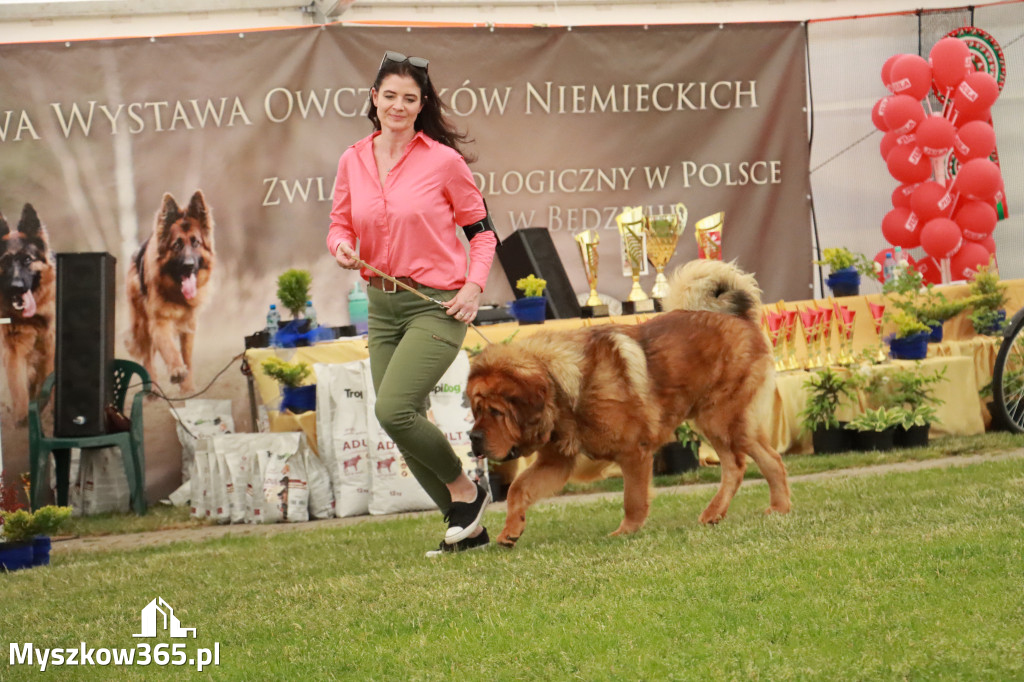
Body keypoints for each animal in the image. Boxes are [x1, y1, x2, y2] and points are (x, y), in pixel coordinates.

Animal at [0, 204, 55, 421]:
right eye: (5, 262)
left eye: (27, 260)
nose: (16, 287)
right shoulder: (14, 350)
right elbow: (18, 388)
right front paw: (23, 419)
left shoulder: (49, 346)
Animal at [128, 191, 216, 393]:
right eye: (177, 245)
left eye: (196, 243)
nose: (189, 266)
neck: (177, 293)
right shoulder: (159, 322)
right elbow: (170, 349)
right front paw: (177, 370)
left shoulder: (189, 325)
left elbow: (187, 358)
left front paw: (188, 388)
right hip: (142, 324)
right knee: (148, 357)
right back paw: (151, 391)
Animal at [468, 258, 794, 544]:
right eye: (476, 410)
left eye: (496, 412)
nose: (472, 438)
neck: (562, 387)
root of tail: (738, 318)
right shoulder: (556, 460)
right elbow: (518, 488)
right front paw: (511, 530)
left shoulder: (634, 451)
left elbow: (632, 498)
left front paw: (626, 531)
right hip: (725, 423)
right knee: (760, 462)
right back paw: (766, 509)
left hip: (722, 419)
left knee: (746, 463)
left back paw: (745, 509)